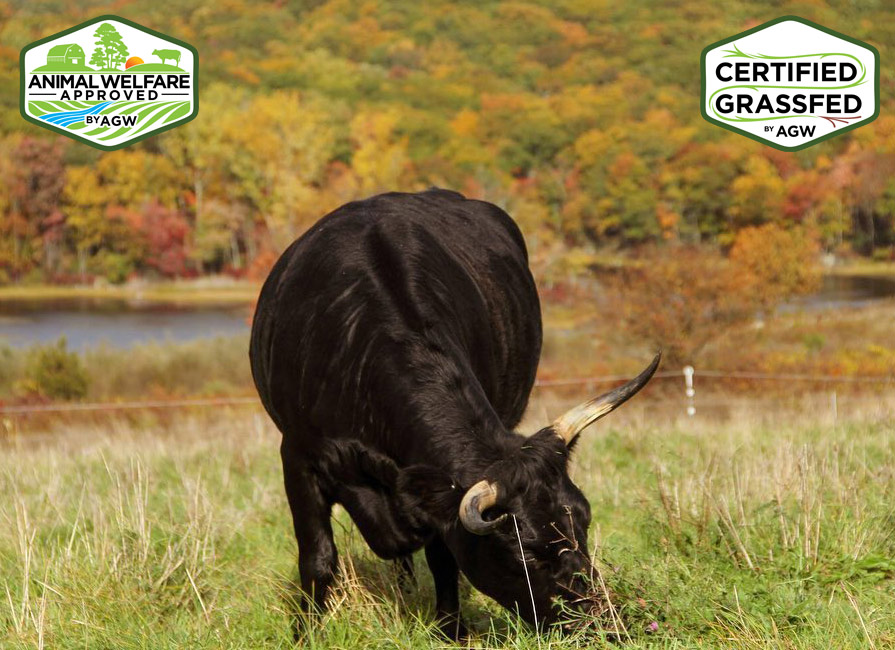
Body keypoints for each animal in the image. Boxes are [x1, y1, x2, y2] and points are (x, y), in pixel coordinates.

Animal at [248, 189, 660, 636]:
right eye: (526, 553)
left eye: (583, 522)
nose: (596, 620)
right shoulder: (297, 457)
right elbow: (318, 558)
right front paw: (305, 632)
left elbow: (443, 557)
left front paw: (450, 629)